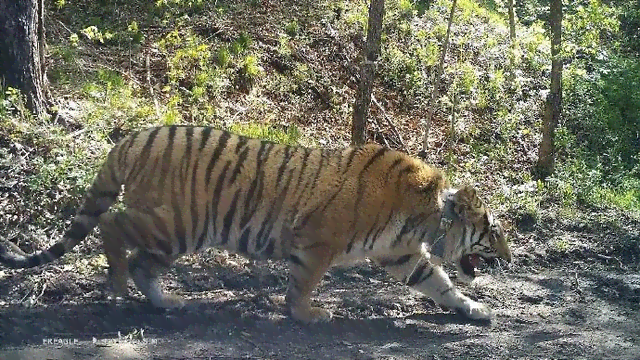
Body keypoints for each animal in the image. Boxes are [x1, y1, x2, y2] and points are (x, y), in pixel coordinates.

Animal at [0, 126, 510, 324]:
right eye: (493, 230)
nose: (507, 258)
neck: (426, 220)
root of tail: (136, 136)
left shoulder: (401, 255)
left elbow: (441, 283)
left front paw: (474, 309)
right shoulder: (319, 241)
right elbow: (305, 282)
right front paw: (306, 315)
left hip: (175, 234)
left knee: (143, 261)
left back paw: (166, 302)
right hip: (172, 223)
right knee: (111, 224)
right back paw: (118, 284)